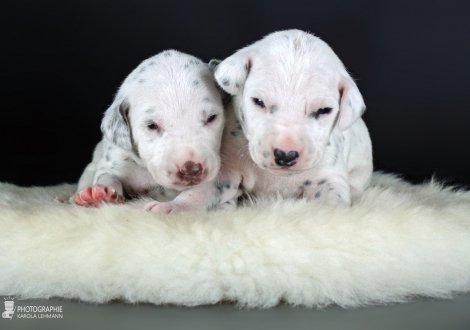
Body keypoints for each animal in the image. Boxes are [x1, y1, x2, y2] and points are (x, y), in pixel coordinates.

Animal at [72, 50, 227, 208]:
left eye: (211, 117)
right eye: (151, 125)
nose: (191, 170)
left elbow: (199, 192)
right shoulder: (114, 162)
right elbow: (108, 175)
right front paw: (101, 194)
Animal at [145, 29, 372, 213]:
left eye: (324, 110)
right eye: (259, 101)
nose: (285, 155)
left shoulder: (328, 177)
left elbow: (333, 201)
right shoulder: (225, 171)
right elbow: (199, 192)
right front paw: (173, 207)